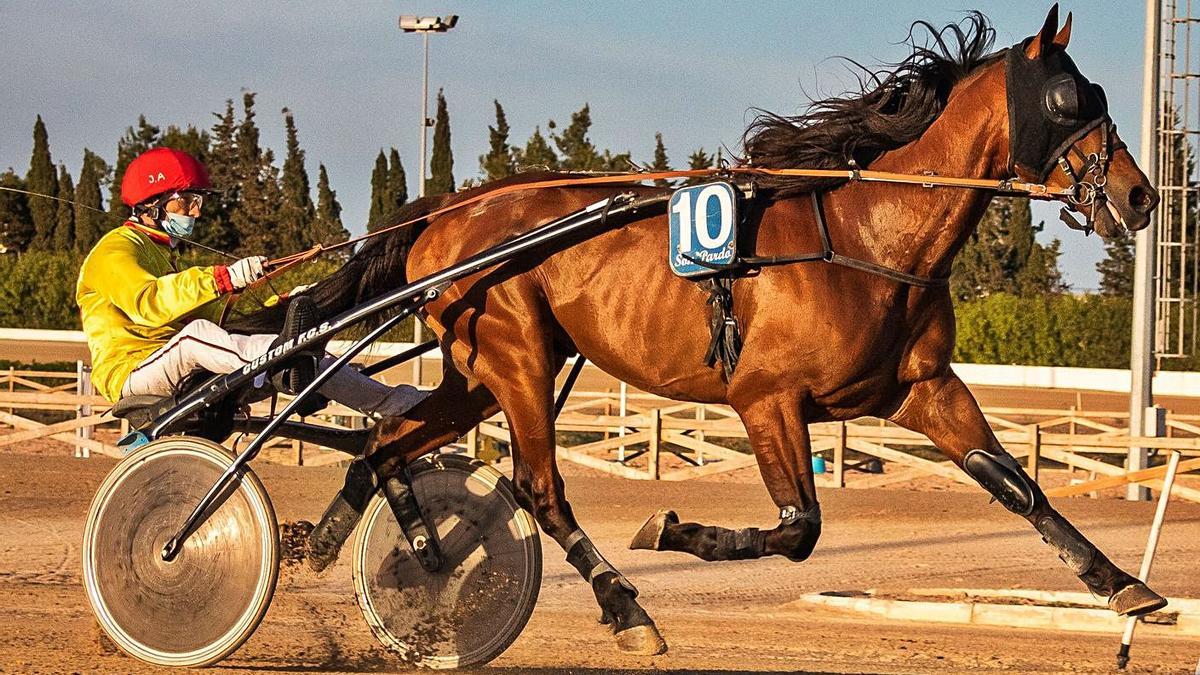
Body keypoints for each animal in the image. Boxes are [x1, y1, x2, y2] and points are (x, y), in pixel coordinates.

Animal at [231, 5, 1161, 653]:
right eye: (1070, 97)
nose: (1142, 194)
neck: (865, 236)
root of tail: (445, 210)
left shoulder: (921, 388)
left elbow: (1018, 486)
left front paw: (1123, 585)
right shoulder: (765, 397)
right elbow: (798, 528)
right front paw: (671, 530)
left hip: (477, 372)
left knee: (387, 440)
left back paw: (363, 544)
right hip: (517, 357)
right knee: (539, 487)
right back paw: (624, 604)